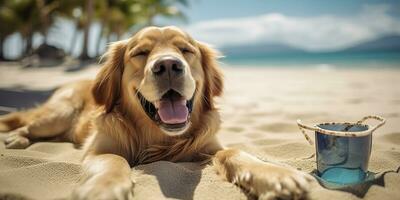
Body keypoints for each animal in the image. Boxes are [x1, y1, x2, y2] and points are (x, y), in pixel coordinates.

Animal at [0, 27, 312, 200]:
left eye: (186, 50)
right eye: (140, 53)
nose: (169, 66)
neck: (158, 137)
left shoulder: (208, 147)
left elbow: (235, 152)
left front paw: (274, 175)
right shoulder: (98, 150)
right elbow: (114, 160)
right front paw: (104, 188)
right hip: (59, 114)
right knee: (28, 125)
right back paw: (17, 138)